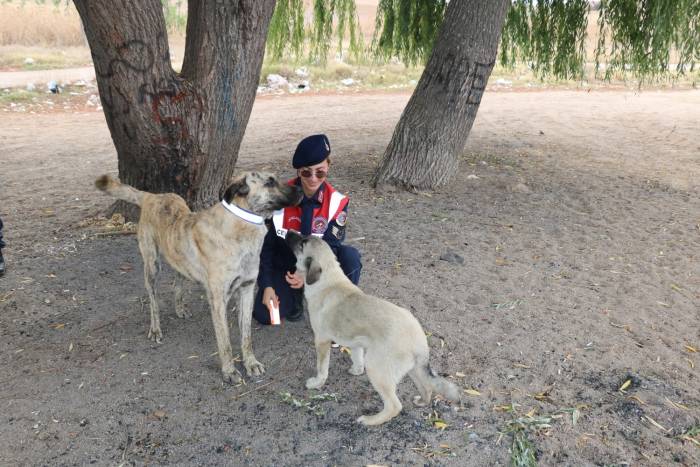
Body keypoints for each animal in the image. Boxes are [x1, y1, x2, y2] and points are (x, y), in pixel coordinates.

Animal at [94, 172, 300, 384]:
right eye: (269, 182)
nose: (301, 189)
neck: (241, 225)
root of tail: (152, 196)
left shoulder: (247, 290)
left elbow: (246, 336)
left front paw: (251, 363)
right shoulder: (218, 300)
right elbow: (225, 342)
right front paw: (229, 371)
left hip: (180, 258)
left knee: (177, 282)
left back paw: (180, 309)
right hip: (152, 265)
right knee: (153, 301)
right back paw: (156, 328)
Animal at [284, 232, 460, 426]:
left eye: (302, 243)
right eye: (303, 238)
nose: (288, 232)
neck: (328, 280)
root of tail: (419, 339)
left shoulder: (321, 341)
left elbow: (322, 368)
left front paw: (317, 383)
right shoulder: (356, 343)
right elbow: (357, 359)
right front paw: (356, 371)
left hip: (377, 369)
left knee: (394, 406)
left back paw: (369, 420)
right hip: (413, 370)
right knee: (427, 387)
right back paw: (421, 401)